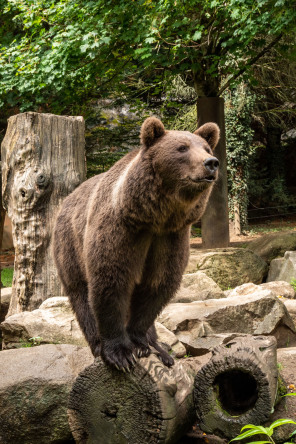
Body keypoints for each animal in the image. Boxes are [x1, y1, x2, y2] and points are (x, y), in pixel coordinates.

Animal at [53, 118, 220, 372]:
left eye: (207, 148)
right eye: (182, 148)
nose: (211, 163)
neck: (153, 217)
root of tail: (66, 200)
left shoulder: (170, 237)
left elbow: (158, 285)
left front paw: (141, 343)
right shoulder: (122, 230)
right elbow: (111, 281)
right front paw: (120, 353)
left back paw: (160, 349)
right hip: (69, 244)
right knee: (80, 293)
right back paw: (97, 344)